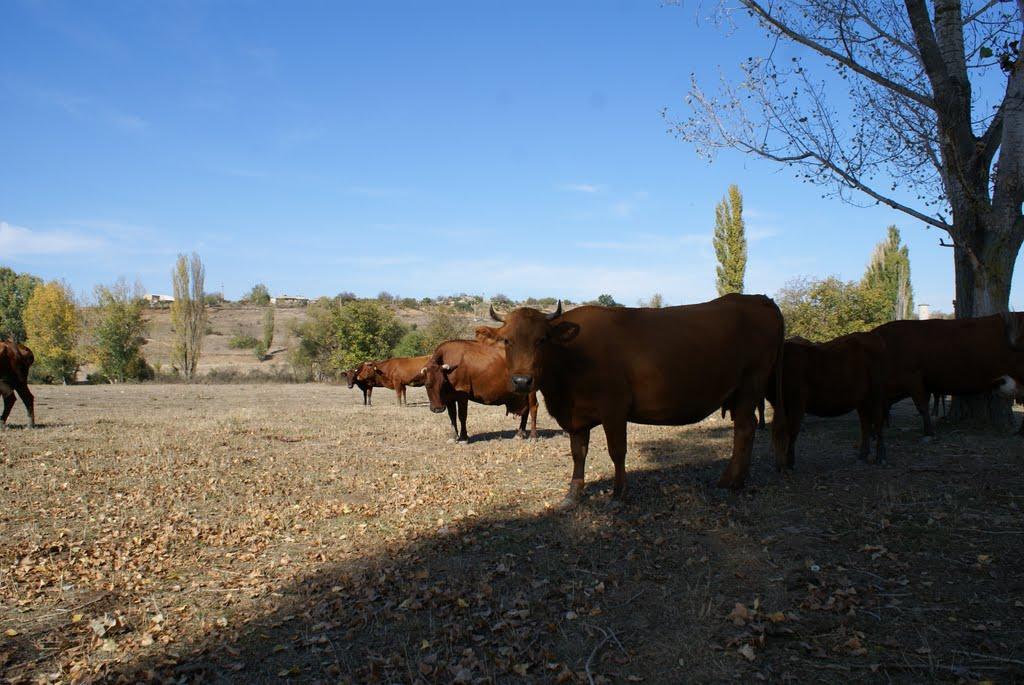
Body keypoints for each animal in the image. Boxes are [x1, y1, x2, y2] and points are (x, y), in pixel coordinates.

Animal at [485, 290, 782, 505]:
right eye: (507, 340)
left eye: (542, 340)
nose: (522, 381)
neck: (573, 356)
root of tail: (758, 299)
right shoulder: (577, 416)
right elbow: (578, 453)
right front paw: (573, 493)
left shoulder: (614, 408)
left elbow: (617, 451)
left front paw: (618, 494)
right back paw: (734, 479)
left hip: (750, 386)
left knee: (745, 430)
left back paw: (732, 481)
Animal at [770, 331, 888, 471]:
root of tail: (870, 336)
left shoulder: (796, 402)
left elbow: (792, 431)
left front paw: (789, 463)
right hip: (862, 399)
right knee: (865, 424)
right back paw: (862, 456)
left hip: (876, 393)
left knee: (878, 422)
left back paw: (881, 457)